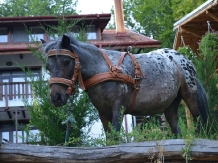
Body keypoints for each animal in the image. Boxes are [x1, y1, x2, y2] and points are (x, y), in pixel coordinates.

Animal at [41, 33, 209, 135]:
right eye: (47, 66)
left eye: (66, 61)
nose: (56, 97)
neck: (103, 69)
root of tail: (184, 59)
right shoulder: (103, 113)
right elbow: (110, 139)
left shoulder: (118, 108)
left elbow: (116, 137)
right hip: (170, 106)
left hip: (190, 97)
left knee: (200, 123)